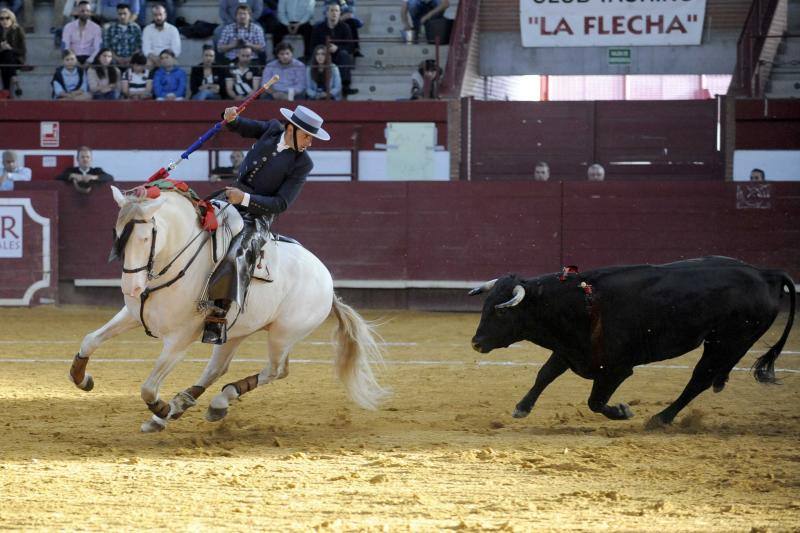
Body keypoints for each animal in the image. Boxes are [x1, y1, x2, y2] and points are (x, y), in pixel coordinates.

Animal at [69, 185, 388, 430]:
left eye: (146, 238)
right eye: (116, 233)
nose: (131, 288)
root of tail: (328, 284)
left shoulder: (179, 339)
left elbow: (148, 387)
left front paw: (161, 408)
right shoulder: (133, 315)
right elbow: (90, 339)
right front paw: (82, 379)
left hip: (283, 334)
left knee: (276, 370)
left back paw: (211, 401)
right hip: (233, 330)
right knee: (217, 368)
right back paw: (186, 404)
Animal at [468, 256, 792, 426]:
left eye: (501, 312)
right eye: (486, 306)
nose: (476, 342)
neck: (579, 304)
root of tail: (766, 274)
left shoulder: (616, 370)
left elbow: (595, 402)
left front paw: (622, 411)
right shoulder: (569, 351)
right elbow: (544, 375)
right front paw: (521, 407)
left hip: (726, 341)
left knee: (699, 379)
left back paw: (661, 418)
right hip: (727, 342)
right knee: (713, 374)